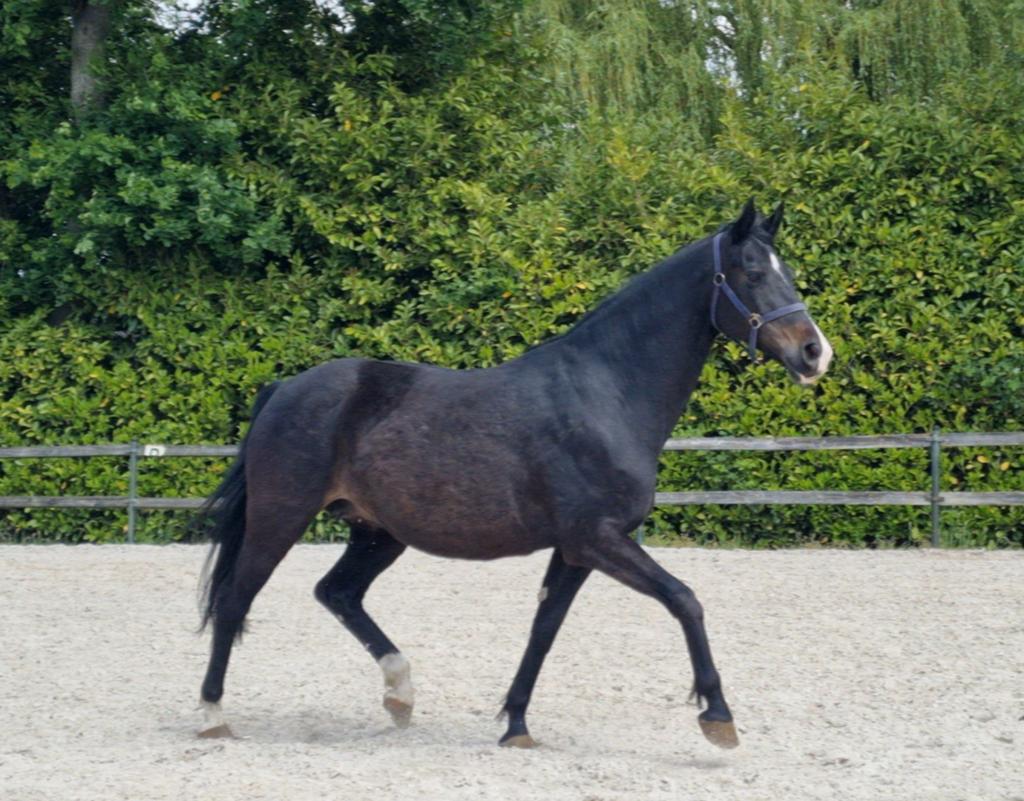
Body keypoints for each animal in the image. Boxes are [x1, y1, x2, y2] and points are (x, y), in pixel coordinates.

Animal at [194, 199, 833, 749]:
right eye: (752, 272)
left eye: (789, 271)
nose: (814, 353)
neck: (607, 393)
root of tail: (284, 388)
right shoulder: (596, 537)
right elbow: (685, 600)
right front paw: (718, 717)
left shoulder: (576, 549)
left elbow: (544, 630)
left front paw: (516, 725)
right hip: (281, 517)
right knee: (235, 599)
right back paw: (212, 716)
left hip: (378, 533)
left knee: (338, 593)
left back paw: (400, 695)